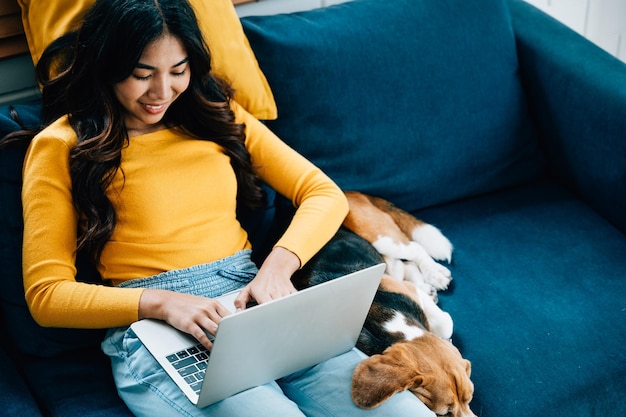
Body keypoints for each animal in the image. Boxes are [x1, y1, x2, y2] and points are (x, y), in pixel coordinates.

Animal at [292, 191, 472, 416]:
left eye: (470, 397)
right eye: (444, 413)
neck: (392, 324)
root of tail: (351, 192)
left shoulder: (399, 287)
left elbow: (446, 323)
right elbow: (446, 322)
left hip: (383, 240)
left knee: (413, 252)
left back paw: (434, 274)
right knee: (408, 260)